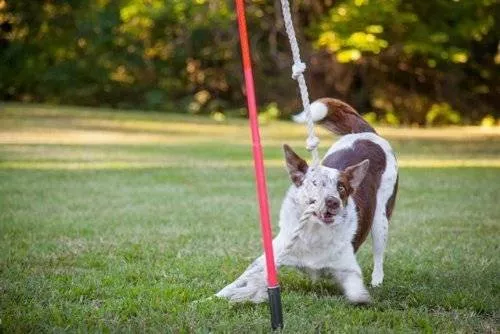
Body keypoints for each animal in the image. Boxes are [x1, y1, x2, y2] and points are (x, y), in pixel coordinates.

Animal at [215, 98, 398, 304]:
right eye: (315, 183)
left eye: (341, 188)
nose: (333, 202)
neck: (313, 233)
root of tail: (366, 134)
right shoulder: (269, 259)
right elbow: (236, 283)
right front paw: (215, 297)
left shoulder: (348, 268)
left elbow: (356, 290)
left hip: (380, 220)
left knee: (379, 256)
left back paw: (377, 281)